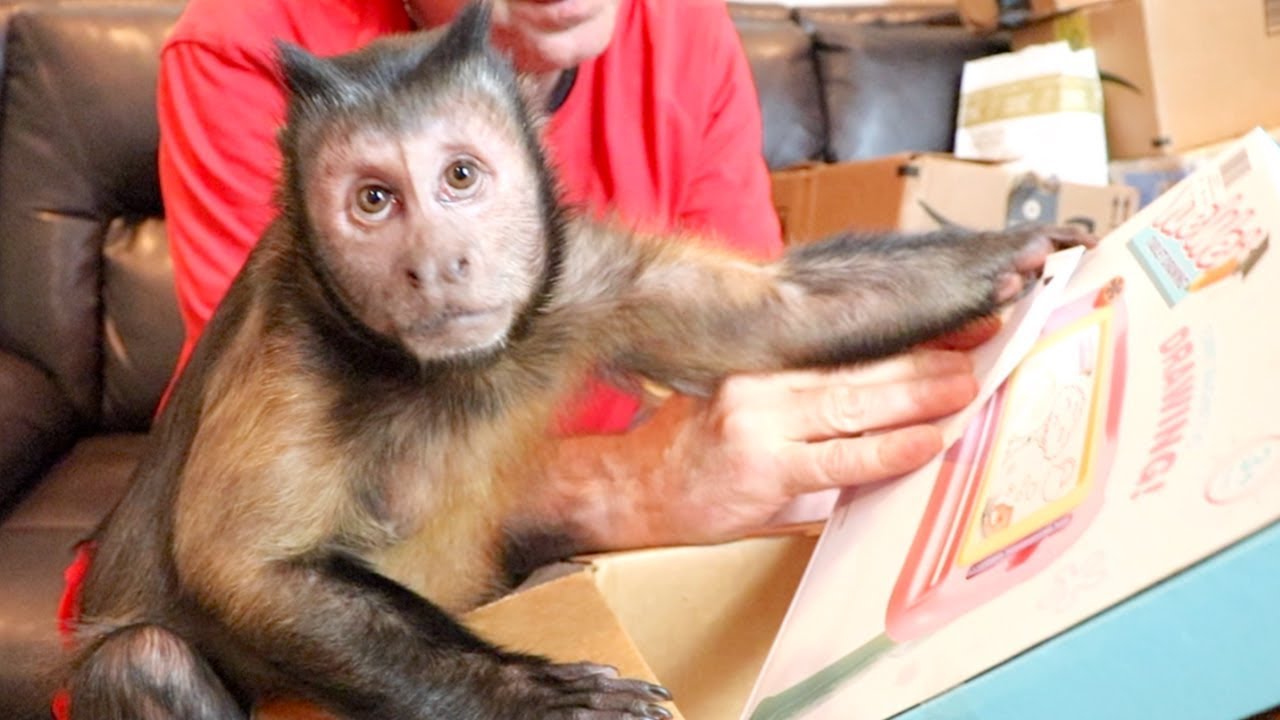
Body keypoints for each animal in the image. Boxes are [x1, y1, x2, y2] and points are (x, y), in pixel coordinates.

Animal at [62, 5, 1092, 719]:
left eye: (460, 177)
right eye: (372, 200)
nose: (435, 263)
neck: (451, 371)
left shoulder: (579, 279)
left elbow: (775, 317)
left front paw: (1018, 253)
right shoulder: (293, 348)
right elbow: (244, 570)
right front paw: (535, 697)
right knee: (142, 658)